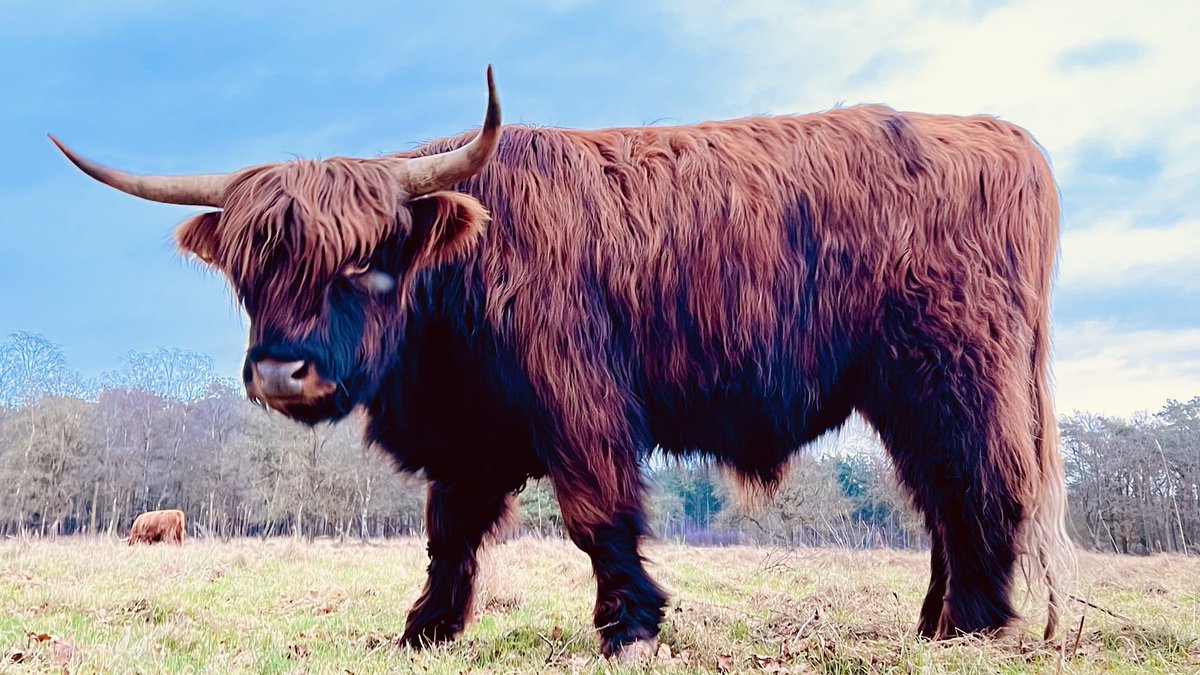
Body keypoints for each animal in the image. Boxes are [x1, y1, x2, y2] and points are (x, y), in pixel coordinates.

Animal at [51, 66, 1073, 658]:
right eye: (249, 271)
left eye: (369, 261)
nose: (279, 374)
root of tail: (1002, 136)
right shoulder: (470, 431)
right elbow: (449, 529)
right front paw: (425, 627)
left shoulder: (578, 400)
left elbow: (596, 513)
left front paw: (630, 625)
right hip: (906, 393)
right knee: (940, 496)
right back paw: (936, 618)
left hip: (951, 375)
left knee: (978, 486)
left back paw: (974, 623)